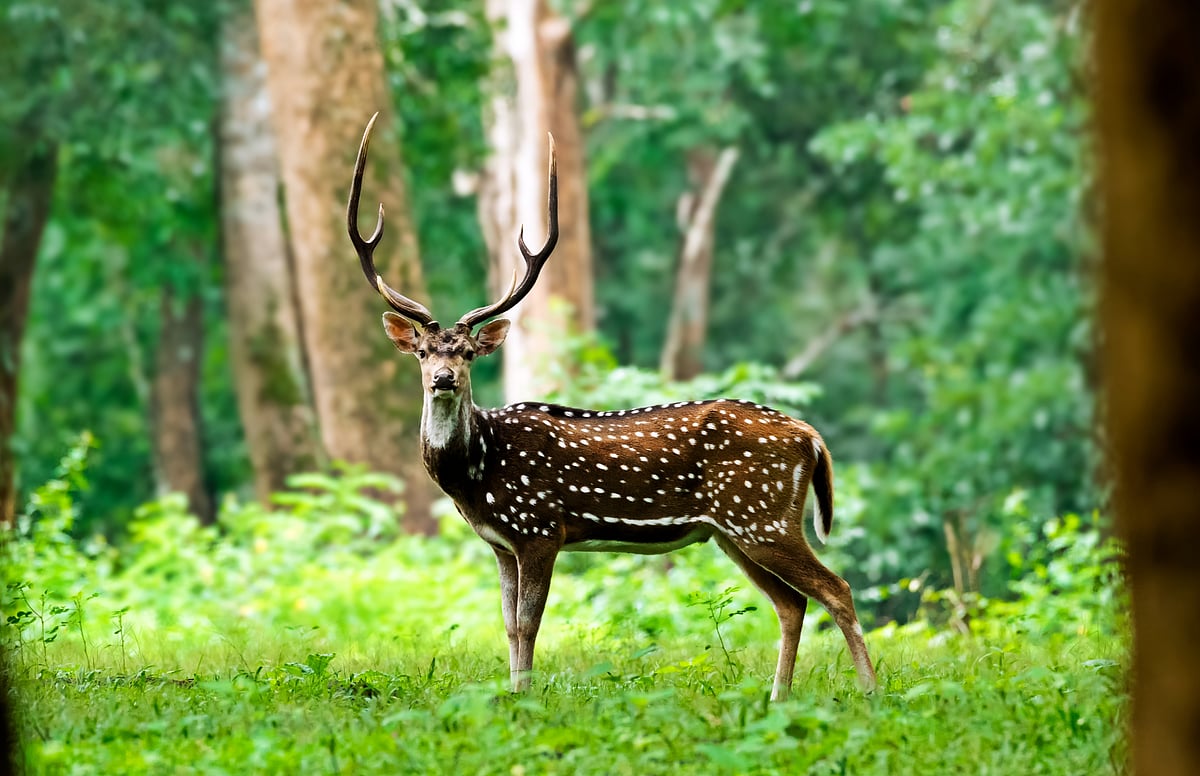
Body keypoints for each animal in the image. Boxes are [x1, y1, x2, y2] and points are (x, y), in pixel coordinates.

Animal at [347, 113, 877, 701]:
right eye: (423, 351)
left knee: (836, 588)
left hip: (761, 514)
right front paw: (511, 694)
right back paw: (778, 698)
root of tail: (811, 437)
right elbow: (506, 623)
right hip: (734, 529)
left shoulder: (540, 528)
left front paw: (524, 698)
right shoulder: (502, 543)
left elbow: (528, 623)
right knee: (792, 602)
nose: (443, 378)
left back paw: (870, 694)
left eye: (466, 352)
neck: (476, 471)